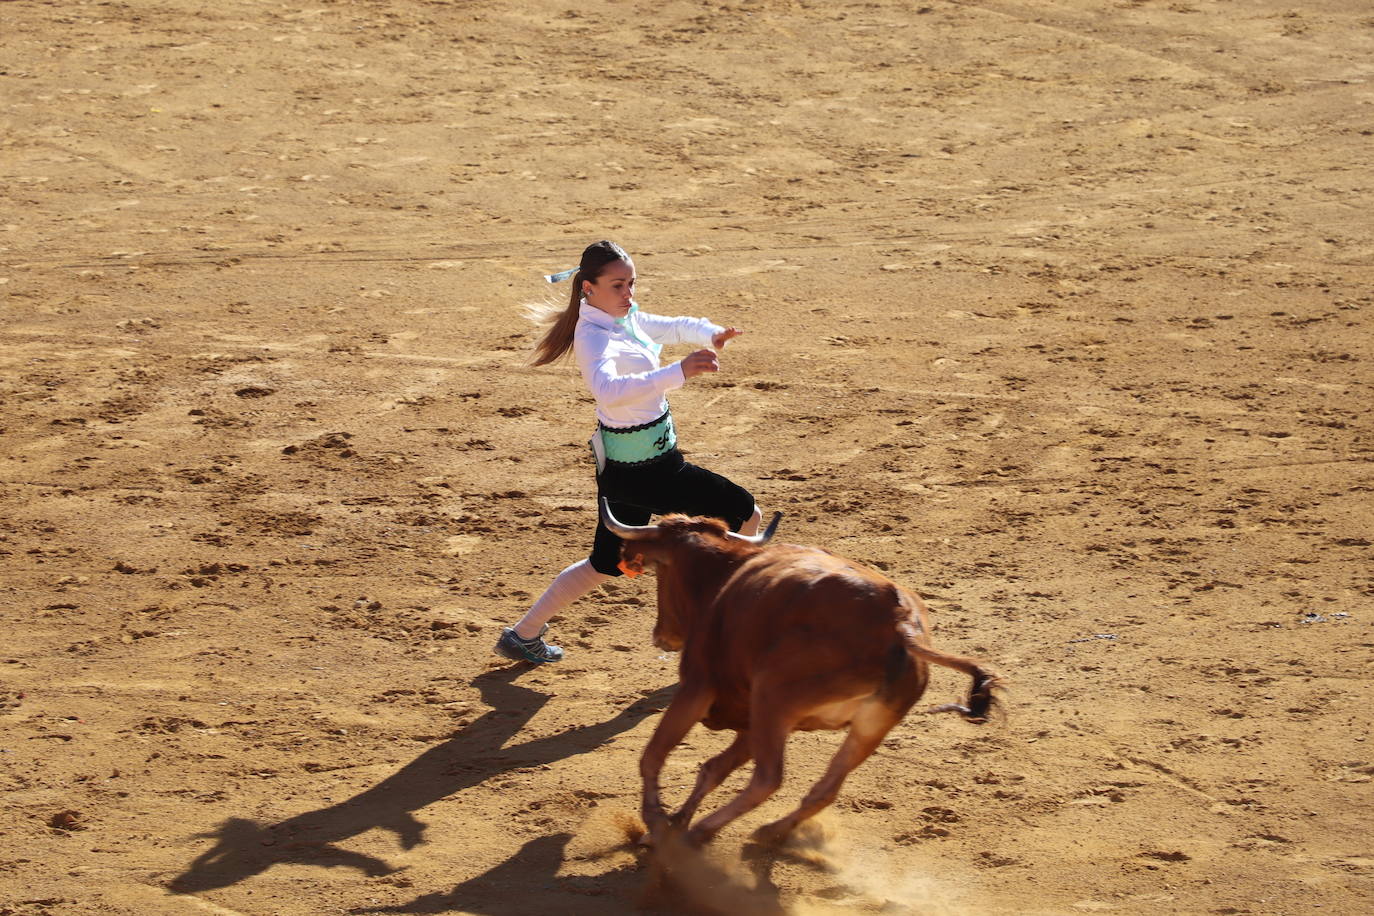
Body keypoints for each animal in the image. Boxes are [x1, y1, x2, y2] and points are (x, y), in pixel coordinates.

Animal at [601, 502, 1000, 845]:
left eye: (660, 573)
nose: (661, 635)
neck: (723, 578)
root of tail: (899, 624)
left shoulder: (698, 687)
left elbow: (654, 754)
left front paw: (656, 822)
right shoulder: (752, 721)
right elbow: (713, 769)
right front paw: (676, 819)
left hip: (772, 700)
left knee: (767, 779)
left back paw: (705, 830)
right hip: (866, 726)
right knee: (824, 790)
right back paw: (767, 831)